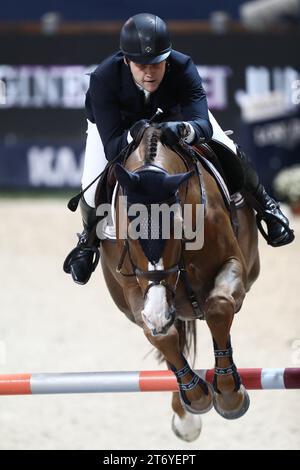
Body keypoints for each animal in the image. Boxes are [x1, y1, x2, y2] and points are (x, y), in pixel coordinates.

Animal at [96, 124, 260, 440]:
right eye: (127, 230)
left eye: (178, 225)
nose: (159, 310)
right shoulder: (136, 290)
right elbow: (161, 335)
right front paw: (196, 397)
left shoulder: (234, 264)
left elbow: (219, 307)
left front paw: (229, 395)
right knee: (175, 340)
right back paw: (185, 415)